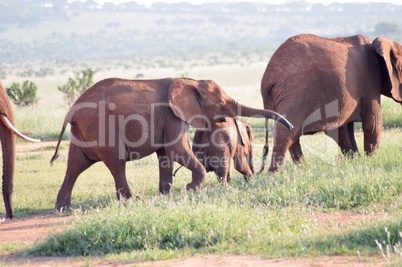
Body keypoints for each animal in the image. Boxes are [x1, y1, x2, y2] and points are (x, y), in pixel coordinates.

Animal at [51, 77, 292, 211]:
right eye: (222, 102)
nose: (290, 126)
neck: (189, 81)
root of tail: (72, 111)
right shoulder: (173, 115)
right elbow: (176, 150)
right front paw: (191, 189)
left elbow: (166, 155)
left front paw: (166, 195)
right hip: (102, 127)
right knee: (116, 162)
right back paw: (130, 201)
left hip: (84, 131)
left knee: (75, 164)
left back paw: (63, 208)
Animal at [260, 33, 400, 173]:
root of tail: (268, 78)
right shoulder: (371, 81)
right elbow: (373, 122)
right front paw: (369, 161)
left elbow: (343, 129)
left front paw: (355, 161)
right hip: (294, 93)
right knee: (286, 132)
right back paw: (276, 174)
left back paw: (303, 168)